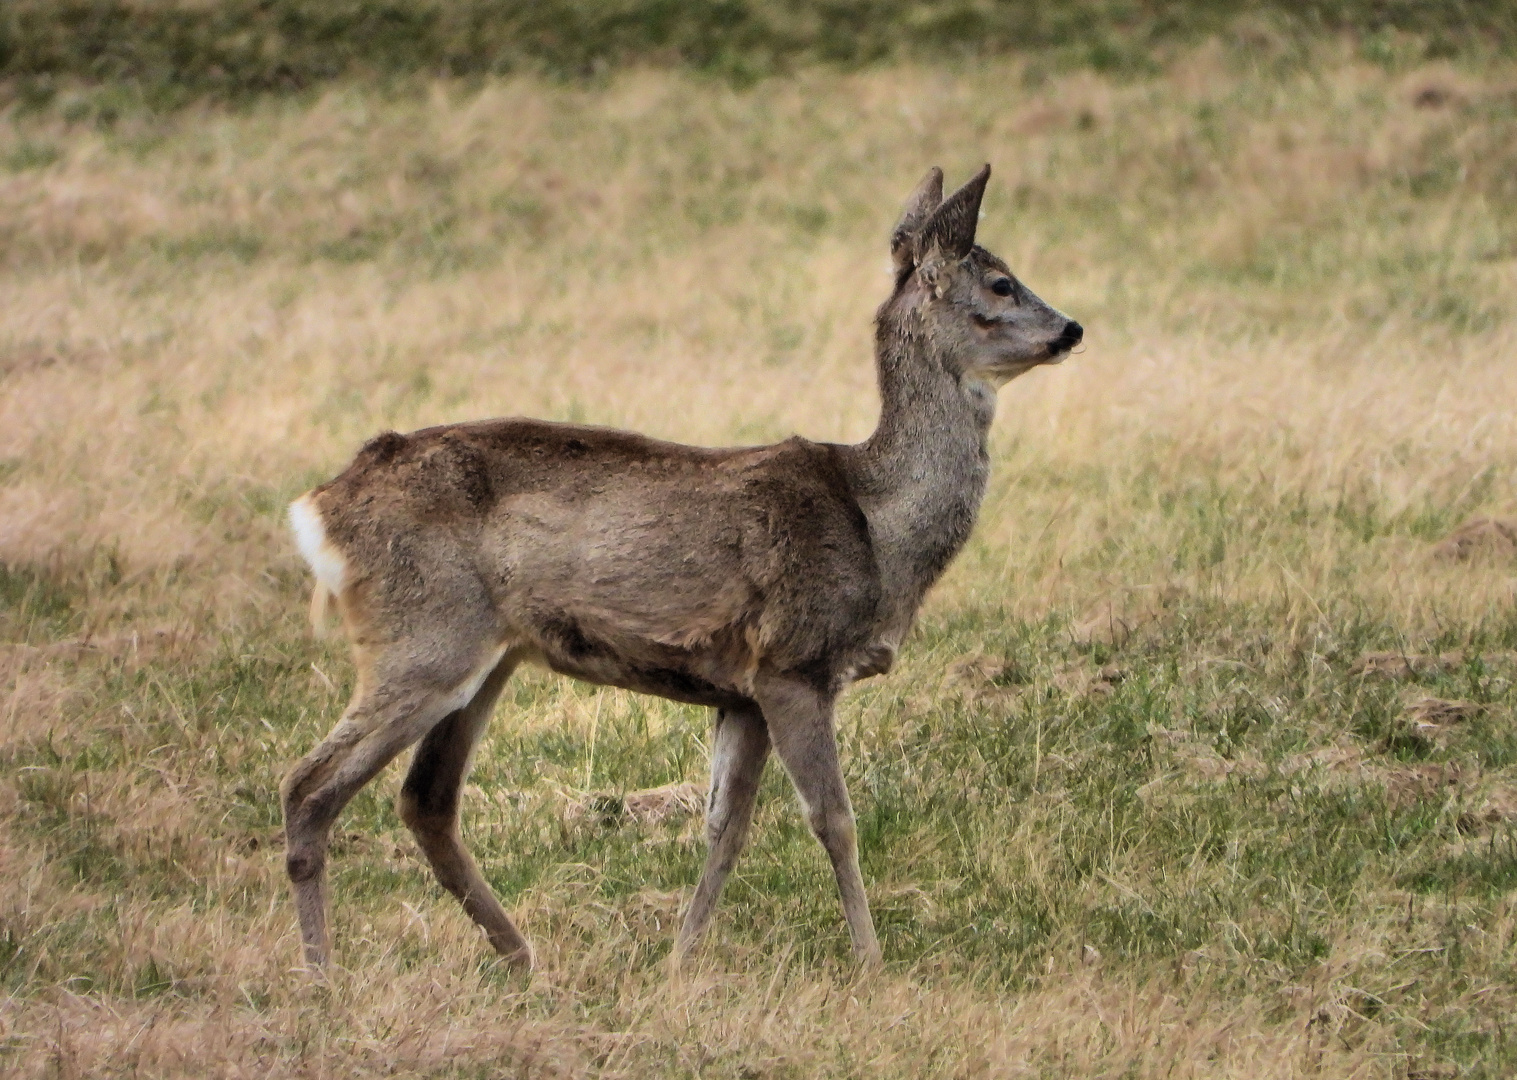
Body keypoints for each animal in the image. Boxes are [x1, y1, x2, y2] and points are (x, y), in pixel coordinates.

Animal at [276, 162, 1080, 970]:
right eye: (1001, 282)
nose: (1071, 328)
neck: (877, 524)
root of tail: (321, 505)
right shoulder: (795, 663)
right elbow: (834, 819)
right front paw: (871, 964)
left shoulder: (742, 691)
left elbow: (725, 826)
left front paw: (679, 962)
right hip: (423, 633)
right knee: (308, 786)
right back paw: (323, 974)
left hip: (487, 652)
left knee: (426, 800)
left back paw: (526, 961)